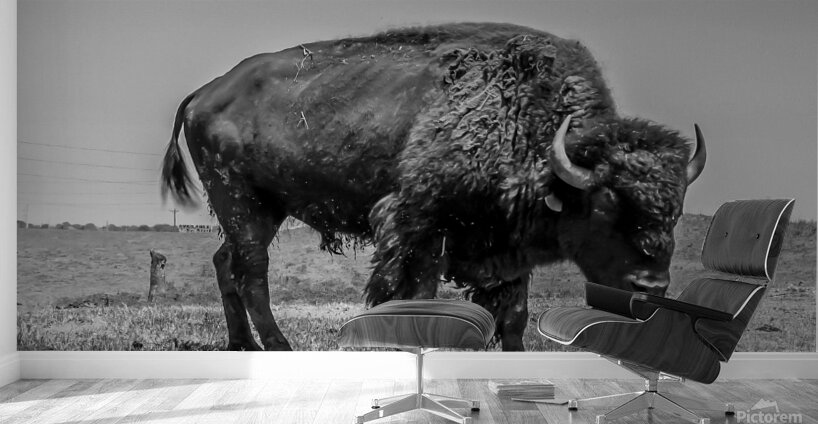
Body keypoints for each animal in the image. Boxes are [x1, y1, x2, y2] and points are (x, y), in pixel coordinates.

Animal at [161, 23, 705, 351]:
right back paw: (278, 346)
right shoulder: (419, 228)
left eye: (675, 210)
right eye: (607, 207)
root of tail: (204, 92)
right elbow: (416, 295)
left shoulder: (507, 248)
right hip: (241, 199)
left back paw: (242, 345)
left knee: (227, 263)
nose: (652, 287)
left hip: (263, 208)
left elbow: (514, 314)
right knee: (252, 271)